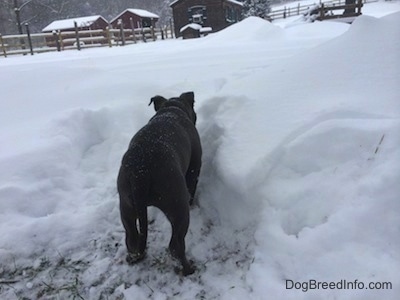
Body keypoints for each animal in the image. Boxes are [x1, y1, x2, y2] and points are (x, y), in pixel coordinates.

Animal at [117, 91, 202, 276]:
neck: (171, 109)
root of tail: (140, 172)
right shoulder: (194, 168)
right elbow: (192, 187)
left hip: (126, 205)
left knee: (132, 238)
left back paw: (135, 257)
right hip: (177, 206)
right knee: (176, 245)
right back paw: (189, 269)